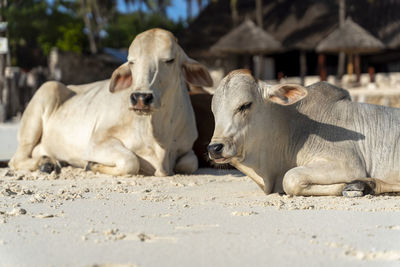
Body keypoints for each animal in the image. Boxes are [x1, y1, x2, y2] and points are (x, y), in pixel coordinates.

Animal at [10, 29, 212, 177]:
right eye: (131, 62)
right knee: (16, 159)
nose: (141, 98)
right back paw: (46, 164)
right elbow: (131, 161)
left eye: (169, 60)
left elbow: (189, 163)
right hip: (45, 94)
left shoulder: (187, 149)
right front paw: (92, 165)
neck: (158, 132)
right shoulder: (96, 143)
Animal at [208, 70, 400, 198]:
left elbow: (290, 178)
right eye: (213, 111)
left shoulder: (349, 164)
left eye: (245, 105)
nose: (215, 148)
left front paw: (344, 186)